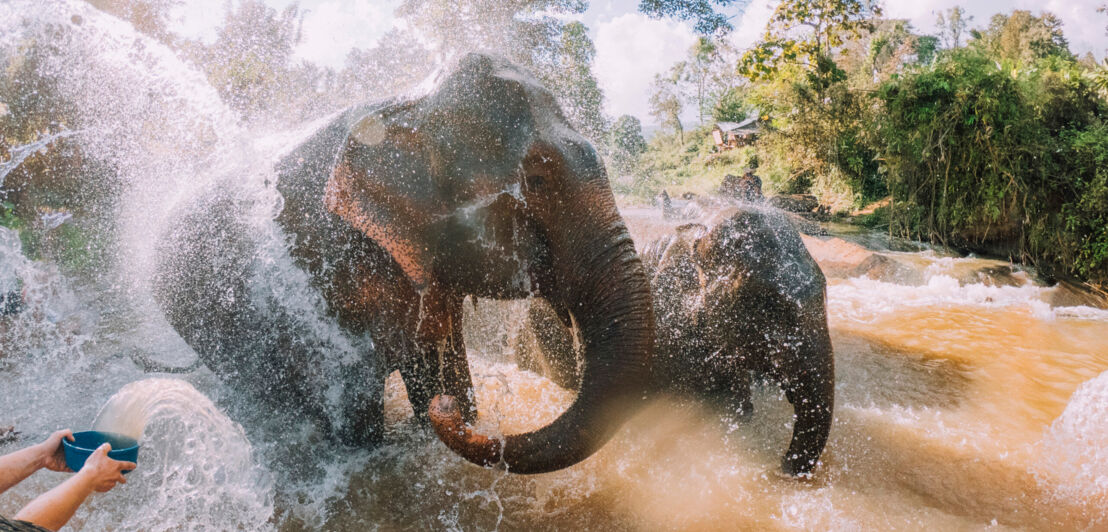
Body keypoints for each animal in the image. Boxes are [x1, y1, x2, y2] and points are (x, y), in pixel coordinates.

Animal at [157, 54, 655, 474]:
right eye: (536, 179)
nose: (443, 412)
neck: (410, 106)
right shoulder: (316, 269)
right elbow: (355, 414)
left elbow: (441, 364)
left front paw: (444, 405)